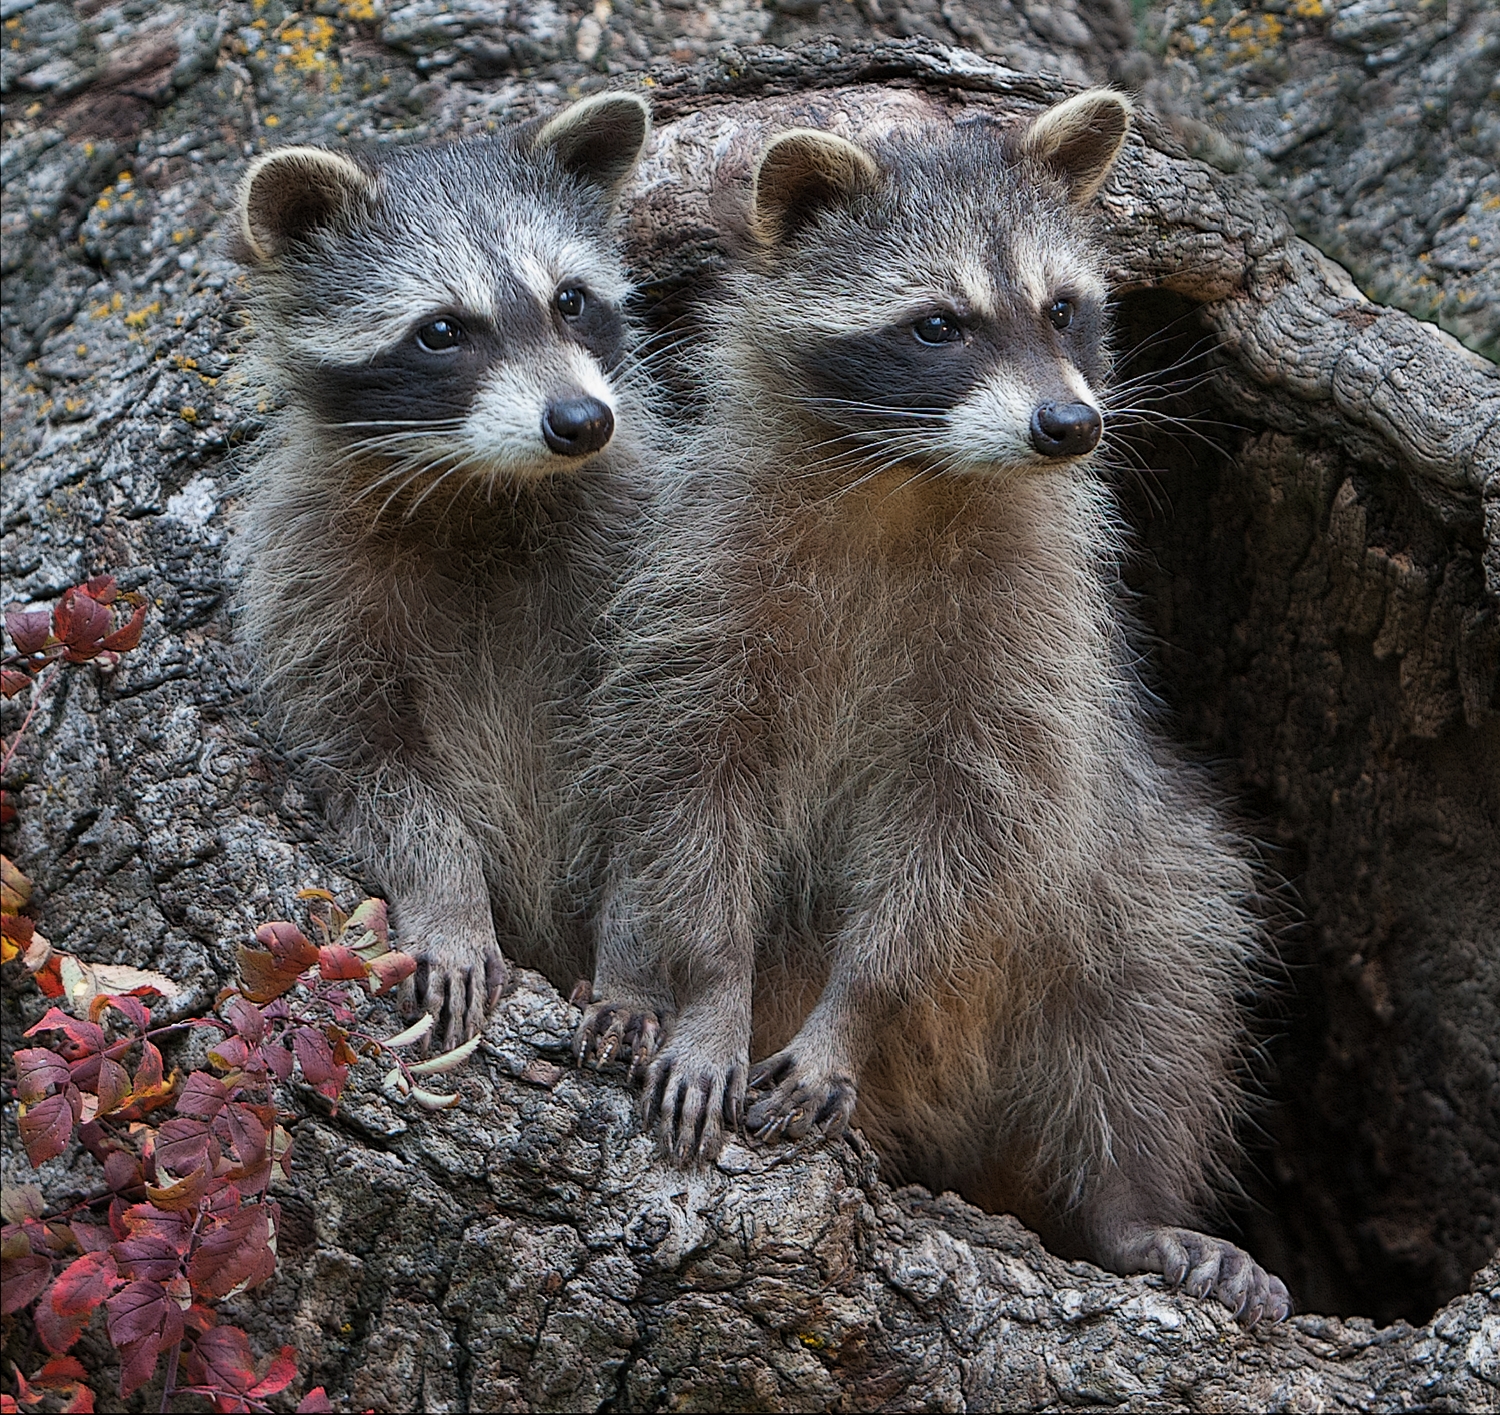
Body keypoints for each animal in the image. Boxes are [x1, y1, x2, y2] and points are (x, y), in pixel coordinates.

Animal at [234, 91, 657, 1050]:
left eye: (569, 300)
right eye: (440, 332)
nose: (580, 420)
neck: (486, 485)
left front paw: (635, 961)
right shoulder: (308, 575)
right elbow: (372, 767)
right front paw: (452, 902)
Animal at [573, 91, 1290, 1326]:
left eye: (1062, 309)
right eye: (939, 325)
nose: (1069, 426)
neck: (911, 481)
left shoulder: (1034, 650)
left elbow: (970, 836)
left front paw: (855, 1009)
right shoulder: (702, 587)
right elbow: (691, 792)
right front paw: (710, 992)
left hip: (1123, 871)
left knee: (1154, 986)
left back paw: (1131, 1202)